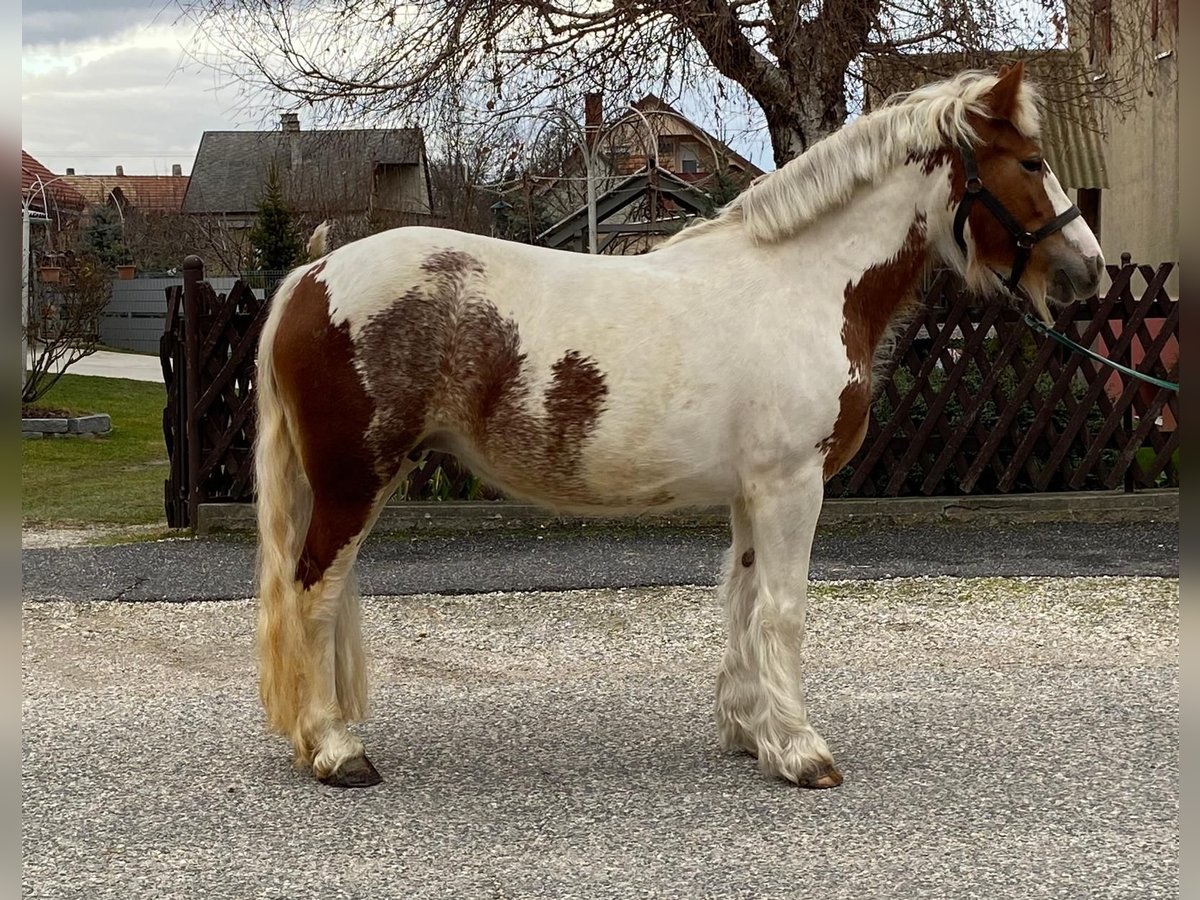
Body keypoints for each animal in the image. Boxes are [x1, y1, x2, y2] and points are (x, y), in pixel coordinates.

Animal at [255, 63, 1104, 792]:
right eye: (1030, 162)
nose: (1086, 270)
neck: (803, 283)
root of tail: (312, 276)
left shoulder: (754, 493)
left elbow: (744, 597)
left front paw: (753, 733)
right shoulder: (792, 487)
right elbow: (783, 609)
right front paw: (801, 752)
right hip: (354, 483)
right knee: (314, 593)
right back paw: (335, 750)